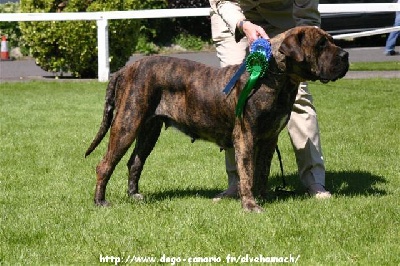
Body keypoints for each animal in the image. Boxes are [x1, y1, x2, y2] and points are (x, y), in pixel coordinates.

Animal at [86, 26, 348, 212]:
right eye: (321, 44)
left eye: (330, 40)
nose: (345, 54)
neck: (275, 78)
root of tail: (125, 69)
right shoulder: (246, 135)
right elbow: (246, 172)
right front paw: (250, 205)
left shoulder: (269, 138)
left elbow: (262, 170)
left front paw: (263, 197)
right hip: (127, 124)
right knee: (105, 164)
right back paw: (100, 202)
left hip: (150, 129)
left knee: (135, 162)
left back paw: (134, 195)